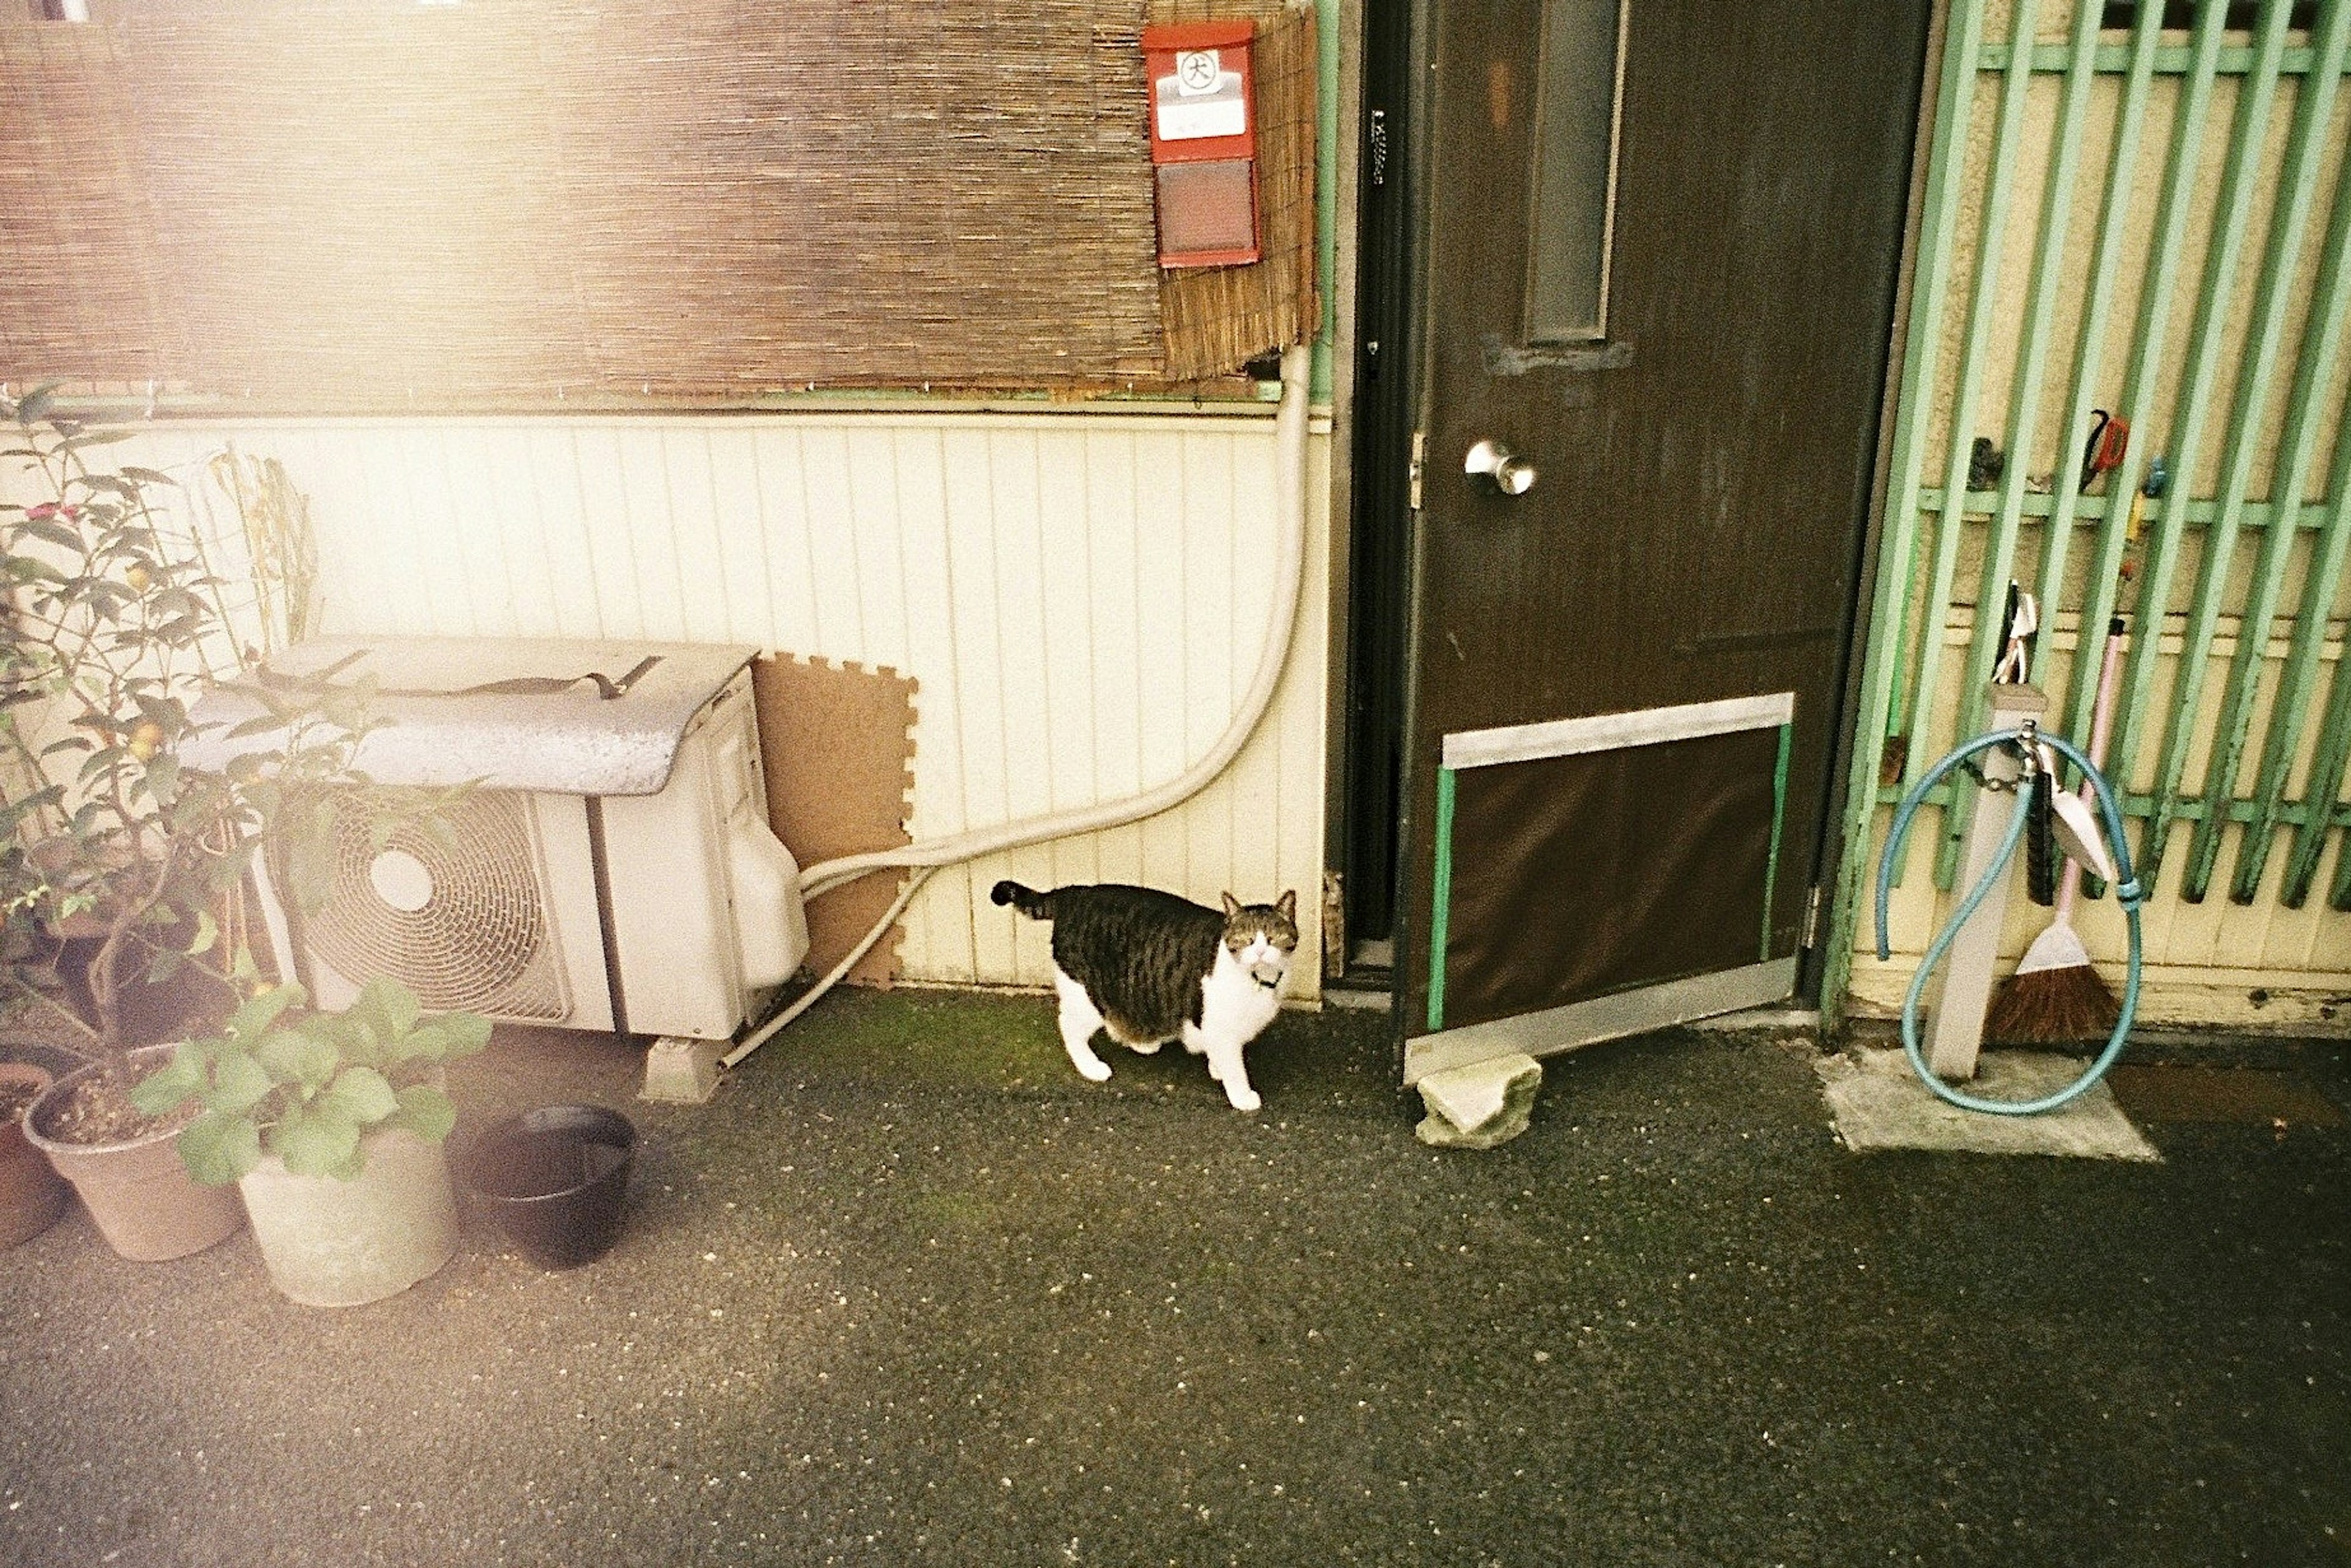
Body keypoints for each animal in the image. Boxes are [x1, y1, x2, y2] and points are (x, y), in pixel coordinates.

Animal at [983, 883, 1297, 1114]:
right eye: (1246, 940)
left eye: (1272, 939)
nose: (1260, 951)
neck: (1258, 979)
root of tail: (1076, 892)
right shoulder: (1222, 1027)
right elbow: (1235, 1066)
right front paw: (1242, 1094)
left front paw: (1216, 1068)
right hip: (1087, 995)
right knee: (1069, 1026)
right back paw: (1091, 1067)